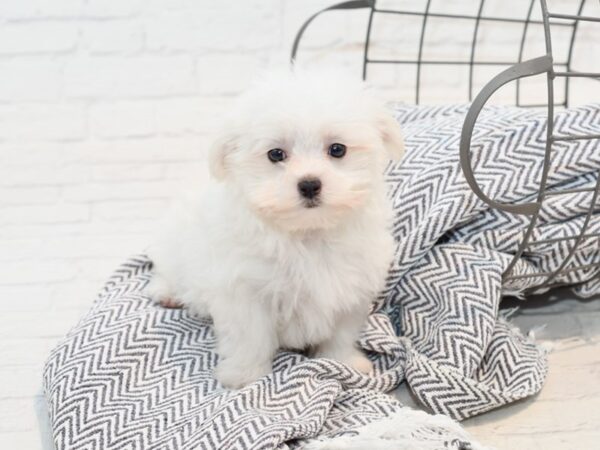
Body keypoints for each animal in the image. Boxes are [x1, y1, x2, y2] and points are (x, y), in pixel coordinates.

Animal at [148, 68, 406, 388]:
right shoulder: (244, 291)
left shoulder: (352, 288)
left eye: (337, 149)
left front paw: (344, 361)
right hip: (175, 245)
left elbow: (341, 334)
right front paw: (245, 375)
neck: (308, 234)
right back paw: (166, 291)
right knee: (167, 269)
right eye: (275, 154)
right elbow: (250, 337)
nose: (309, 184)